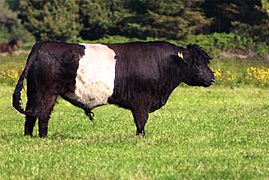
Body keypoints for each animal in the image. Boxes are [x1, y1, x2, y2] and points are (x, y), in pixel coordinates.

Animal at [12, 41, 214, 138]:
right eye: (197, 62)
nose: (212, 77)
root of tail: (42, 45)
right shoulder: (141, 101)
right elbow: (141, 121)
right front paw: (140, 137)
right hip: (48, 92)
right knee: (43, 114)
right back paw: (43, 137)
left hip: (34, 91)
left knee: (30, 115)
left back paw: (29, 136)